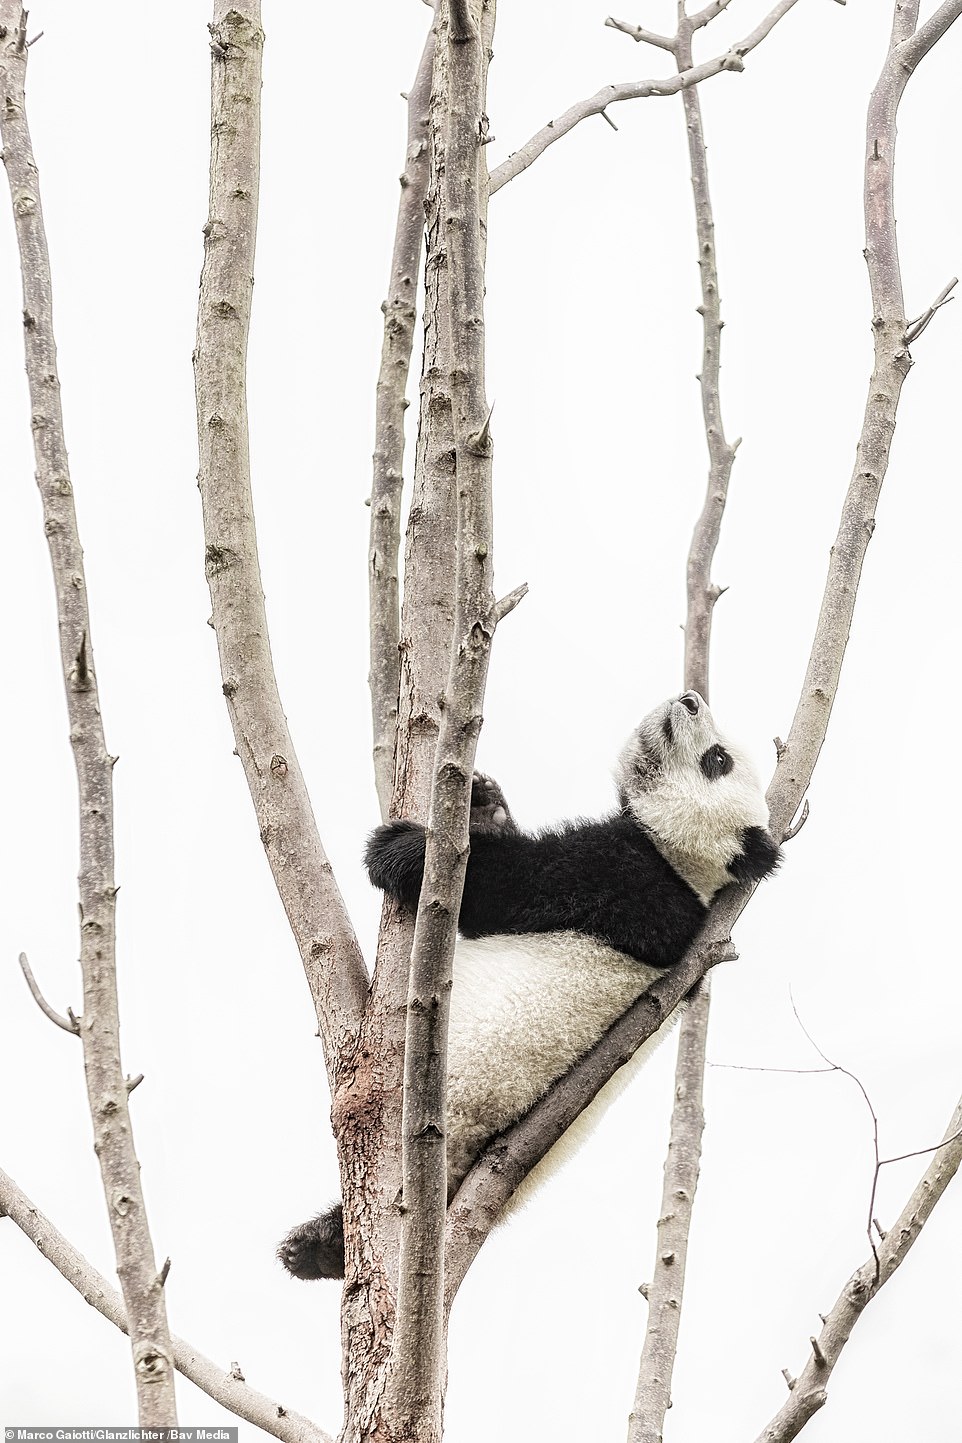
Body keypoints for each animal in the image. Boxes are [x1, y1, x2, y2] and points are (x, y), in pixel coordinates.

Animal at [278, 690, 780, 1280]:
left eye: (717, 761)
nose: (690, 699)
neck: (698, 874)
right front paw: (486, 803)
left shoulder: (629, 885)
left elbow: (500, 887)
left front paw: (402, 851)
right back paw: (315, 1245)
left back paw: (320, 1242)